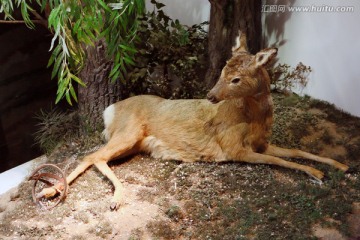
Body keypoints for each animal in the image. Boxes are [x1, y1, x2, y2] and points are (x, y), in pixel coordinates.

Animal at [38, 32, 348, 210]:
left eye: (236, 79)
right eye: (222, 71)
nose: (211, 96)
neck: (254, 119)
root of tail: (110, 110)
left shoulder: (262, 144)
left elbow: (295, 150)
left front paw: (338, 165)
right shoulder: (234, 148)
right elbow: (280, 161)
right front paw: (318, 174)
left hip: (133, 143)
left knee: (95, 157)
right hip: (128, 133)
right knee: (91, 155)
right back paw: (93, 196)